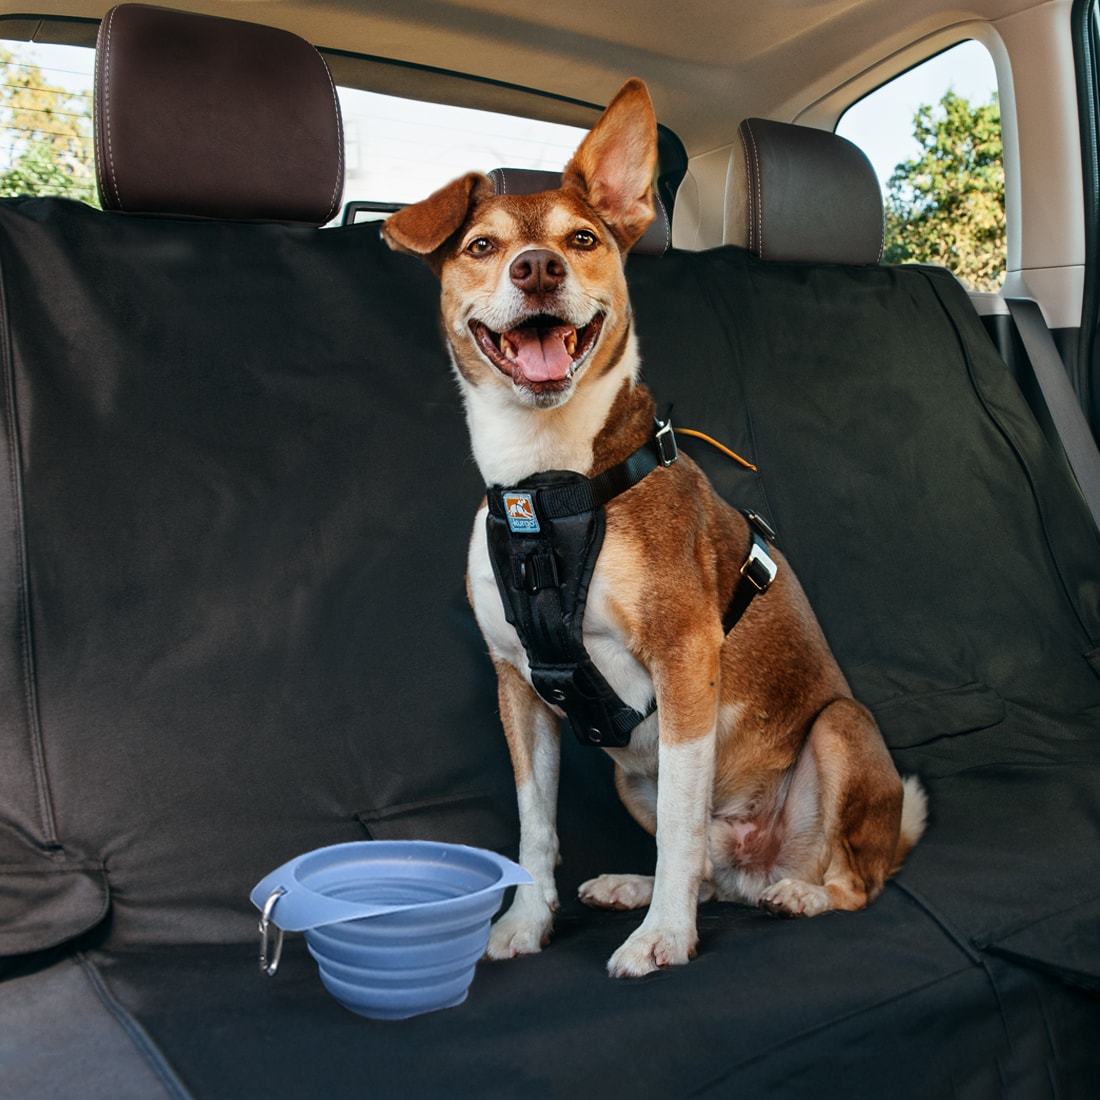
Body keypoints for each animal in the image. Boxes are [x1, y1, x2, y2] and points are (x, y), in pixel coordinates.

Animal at [382, 79, 924, 981]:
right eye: (484, 246)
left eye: (582, 238)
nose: (538, 268)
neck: (549, 487)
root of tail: (758, 860)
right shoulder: (517, 687)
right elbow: (536, 827)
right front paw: (528, 923)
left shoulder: (683, 664)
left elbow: (679, 825)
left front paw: (663, 940)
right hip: (629, 780)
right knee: (710, 869)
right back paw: (640, 887)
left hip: (842, 732)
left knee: (846, 877)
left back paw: (799, 894)